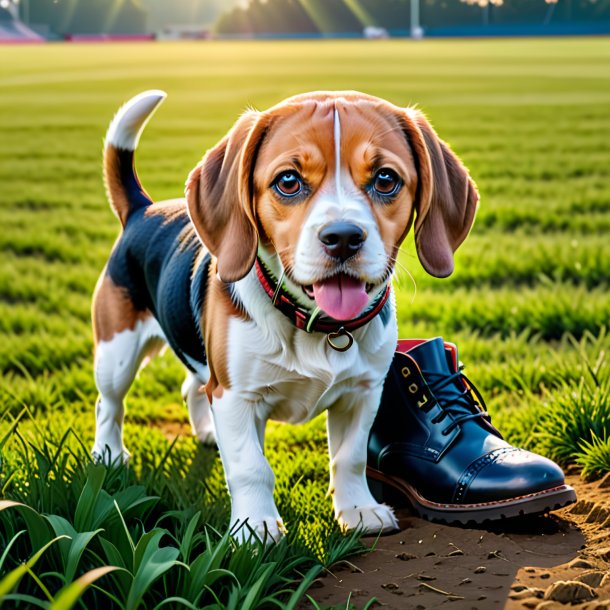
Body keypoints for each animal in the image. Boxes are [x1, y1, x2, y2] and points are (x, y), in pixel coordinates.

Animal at [92, 89, 478, 536]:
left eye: (385, 179)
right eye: (289, 181)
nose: (343, 237)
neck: (320, 326)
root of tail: (143, 210)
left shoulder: (363, 392)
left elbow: (350, 458)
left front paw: (359, 511)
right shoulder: (236, 396)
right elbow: (250, 467)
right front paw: (254, 527)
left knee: (192, 387)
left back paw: (207, 432)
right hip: (117, 355)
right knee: (109, 405)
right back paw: (108, 455)